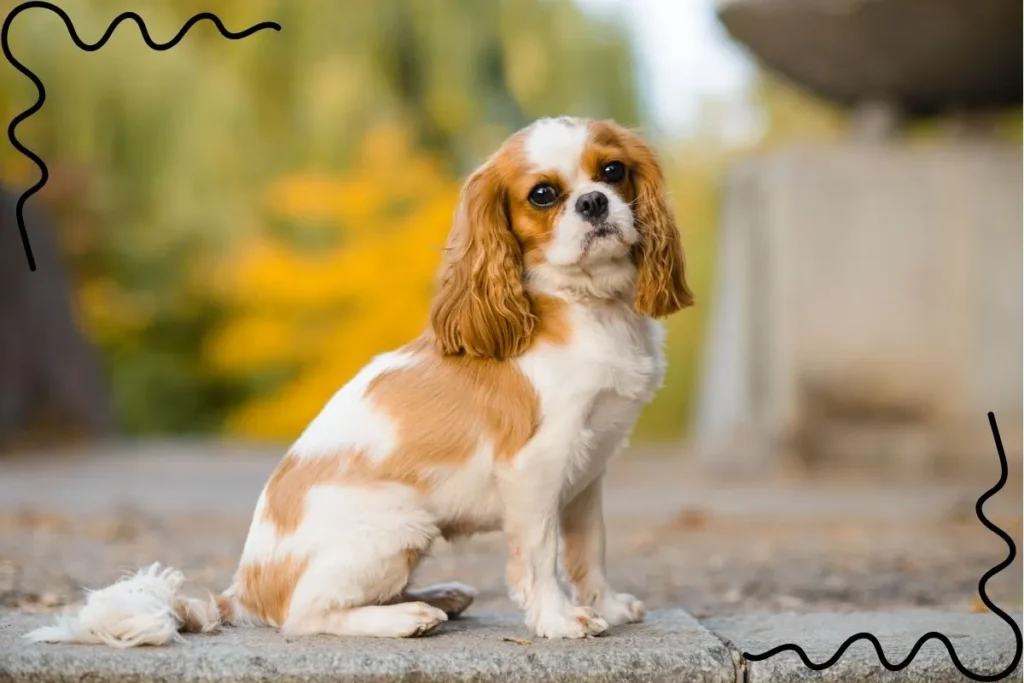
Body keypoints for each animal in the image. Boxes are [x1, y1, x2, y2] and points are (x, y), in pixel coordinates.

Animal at [25, 116, 696, 647]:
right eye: (543, 195)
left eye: (612, 171)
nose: (593, 203)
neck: (588, 307)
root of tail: (243, 592)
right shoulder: (536, 468)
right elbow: (541, 555)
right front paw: (560, 620)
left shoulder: (586, 473)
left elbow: (589, 549)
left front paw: (607, 606)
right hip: (401, 527)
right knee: (307, 616)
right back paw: (406, 617)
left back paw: (438, 596)